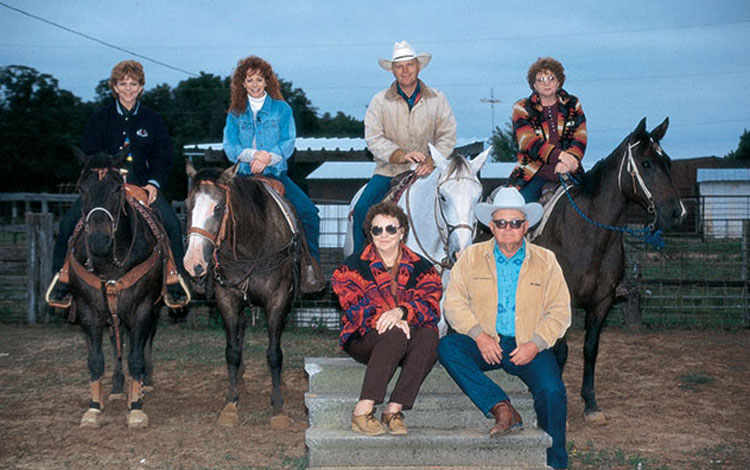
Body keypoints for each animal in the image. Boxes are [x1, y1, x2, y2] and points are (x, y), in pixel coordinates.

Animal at [58, 149, 172, 428]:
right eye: (81, 188)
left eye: (117, 188)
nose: (99, 240)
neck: (109, 262)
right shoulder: (89, 311)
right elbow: (96, 360)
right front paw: (93, 408)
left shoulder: (142, 309)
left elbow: (136, 356)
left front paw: (137, 407)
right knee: (117, 341)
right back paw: (119, 387)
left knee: (145, 341)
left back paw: (144, 383)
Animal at [184, 163, 298, 428]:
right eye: (187, 205)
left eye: (218, 207)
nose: (193, 263)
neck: (251, 248)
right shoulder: (227, 300)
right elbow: (232, 352)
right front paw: (230, 402)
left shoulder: (278, 301)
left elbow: (274, 354)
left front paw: (278, 408)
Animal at [536, 116, 692, 422]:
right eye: (646, 163)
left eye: (668, 162)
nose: (676, 213)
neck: (588, 234)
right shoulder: (564, 302)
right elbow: (561, 351)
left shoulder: (602, 302)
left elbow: (590, 349)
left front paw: (590, 404)